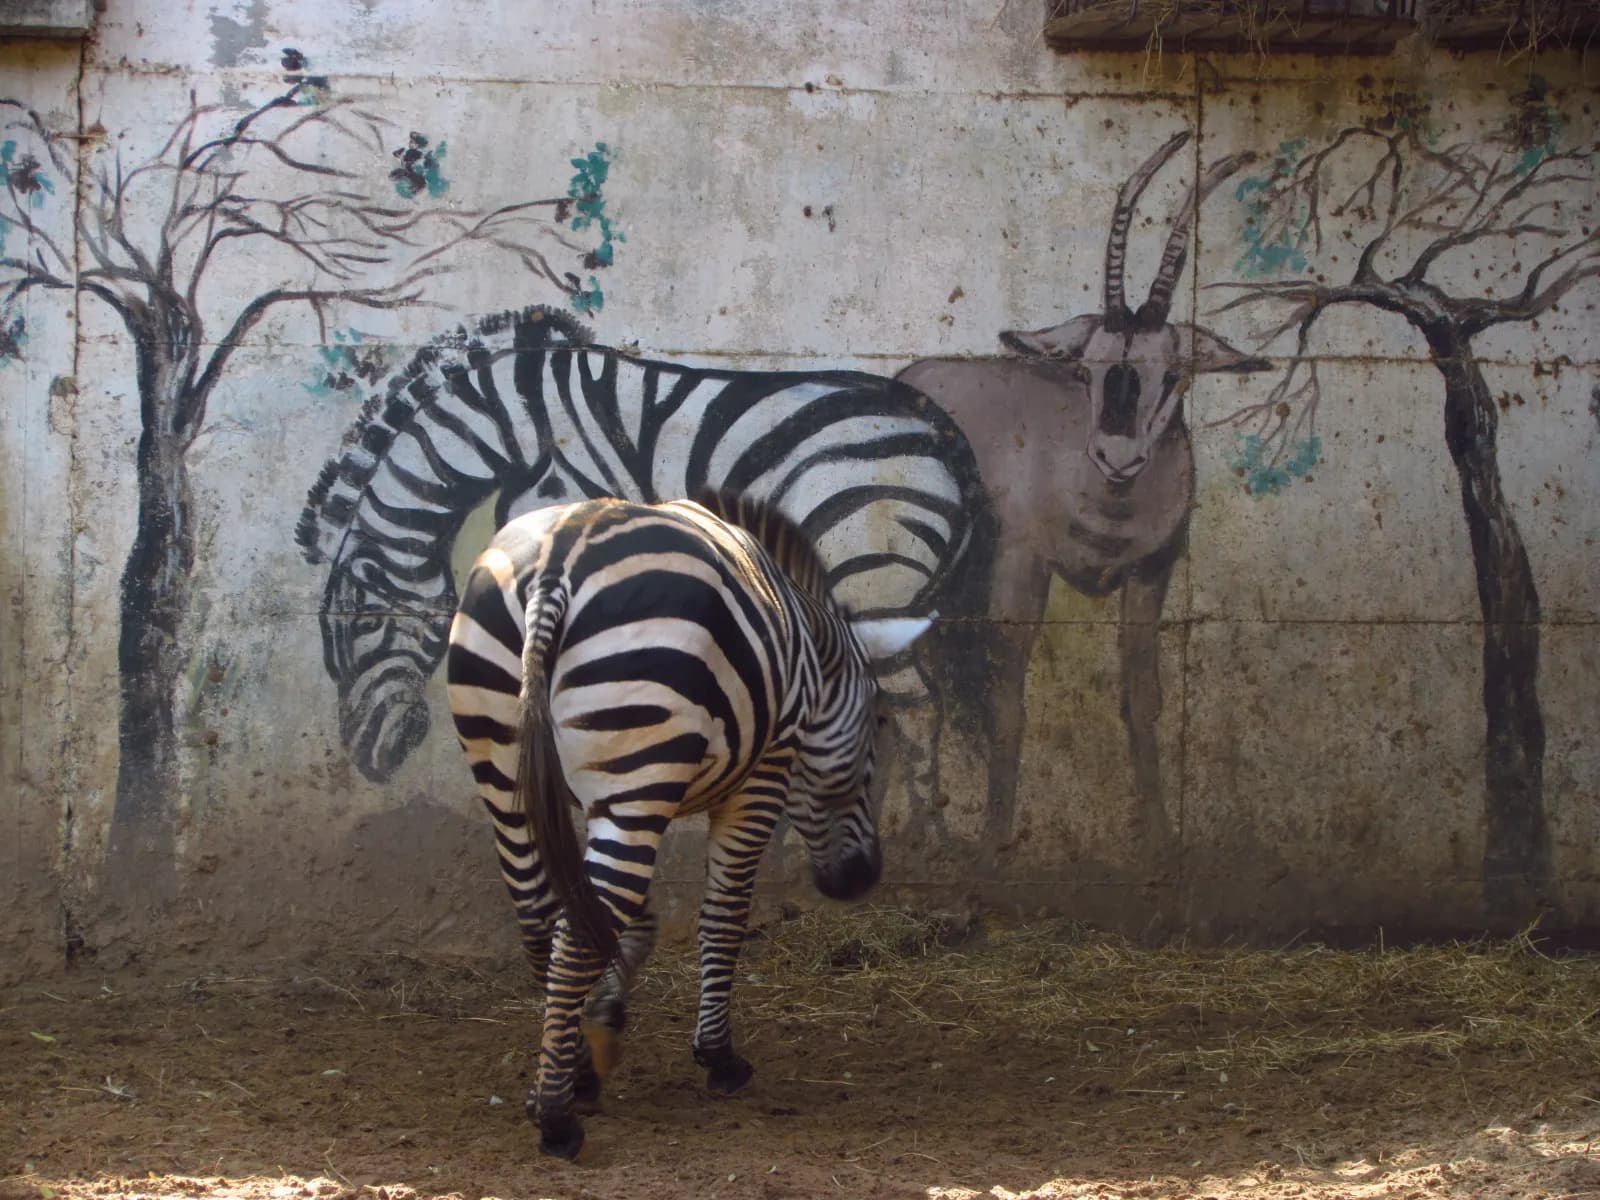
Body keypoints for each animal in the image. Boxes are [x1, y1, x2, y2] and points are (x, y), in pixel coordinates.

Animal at [296, 305, 982, 834]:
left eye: (361, 624)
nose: (364, 758)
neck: (517, 424)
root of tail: (945, 436)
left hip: (871, 575)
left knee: (913, 709)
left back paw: (923, 834)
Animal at [446, 490, 931, 1158]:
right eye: (879, 724)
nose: (861, 878)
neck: (808, 642)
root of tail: (558, 561)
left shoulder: (580, 799)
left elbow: (630, 921)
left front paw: (603, 1024)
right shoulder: (763, 775)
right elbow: (723, 915)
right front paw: (718, 1057)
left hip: (506, 769)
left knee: (545, 923)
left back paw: (569, 1077)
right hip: (638, 769)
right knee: (574, 935)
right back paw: (557, 1118)